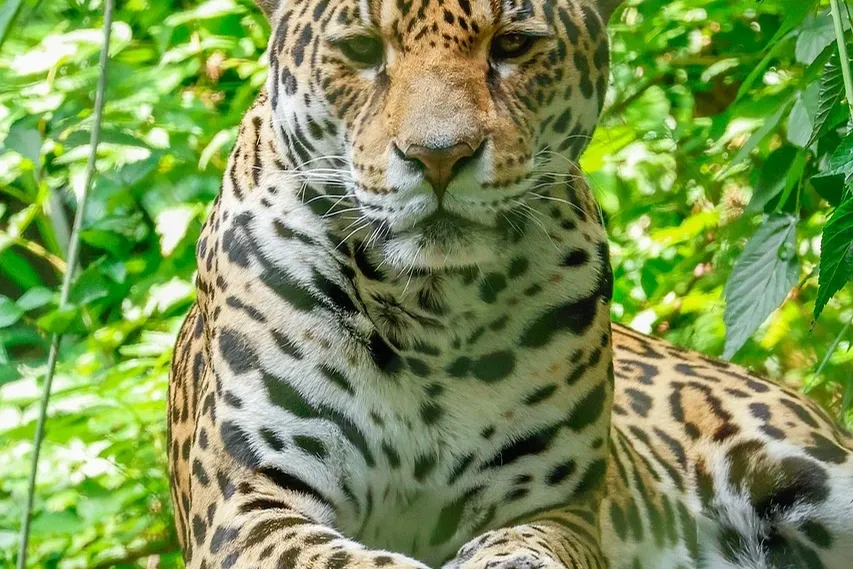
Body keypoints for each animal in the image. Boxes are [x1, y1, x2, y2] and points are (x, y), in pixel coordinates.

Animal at [166, 0, 853, 568]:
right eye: (362, 49)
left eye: (513, 45)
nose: (439, 156)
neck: (430, 308)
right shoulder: (251, 502)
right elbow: (347, 560)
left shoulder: (556, 510)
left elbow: (522, 546)